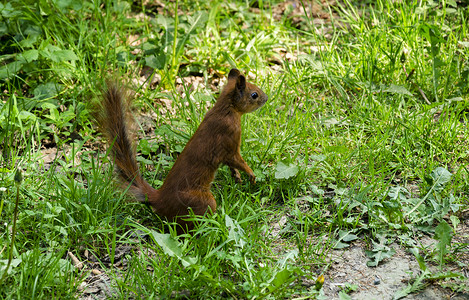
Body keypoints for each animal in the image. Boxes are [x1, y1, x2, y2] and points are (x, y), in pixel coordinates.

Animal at [96, 69, 266, 231]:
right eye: (254, 94)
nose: (266, 98)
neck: (225, 109)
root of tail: (159, 199)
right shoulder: (230, 137)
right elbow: (237, 160)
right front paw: (251, 175)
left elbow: (231, 164)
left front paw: (236, 176)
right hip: (201, 201)